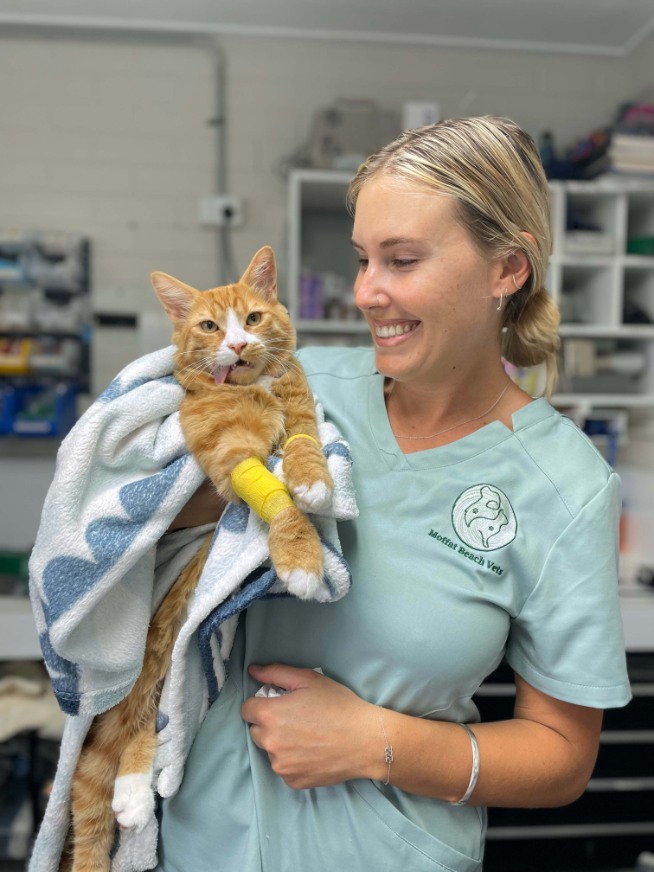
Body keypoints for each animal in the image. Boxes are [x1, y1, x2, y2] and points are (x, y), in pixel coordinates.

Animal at [66, 245, 334, 872]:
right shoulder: (227, 455)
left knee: (163, 707)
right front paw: (300, 557)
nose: (236, 344)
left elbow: (305, 450)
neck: (255, 386)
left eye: (252, 319)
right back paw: (132, 794)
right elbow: (277, 501)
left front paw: (314, 482)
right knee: (144, 711)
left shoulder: (301, 413)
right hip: (161, 640)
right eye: (211, 327)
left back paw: (134, 793)